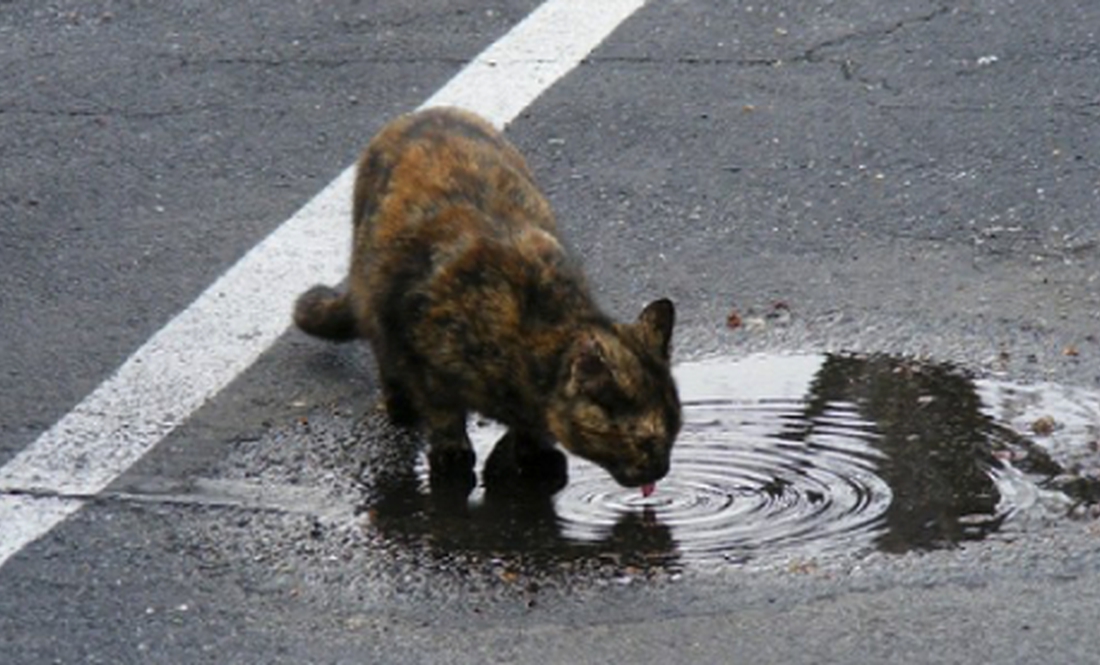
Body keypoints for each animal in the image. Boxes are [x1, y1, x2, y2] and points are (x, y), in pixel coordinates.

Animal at [292, 107, 677, 492]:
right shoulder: (420, 355)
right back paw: (401, 406)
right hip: (375, 297)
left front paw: (534, 451)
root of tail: (423, 113)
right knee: (383, 353)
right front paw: (452, 453)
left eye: (675, 432)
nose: (663, 469)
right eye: (645, 442)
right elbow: (442, 412)